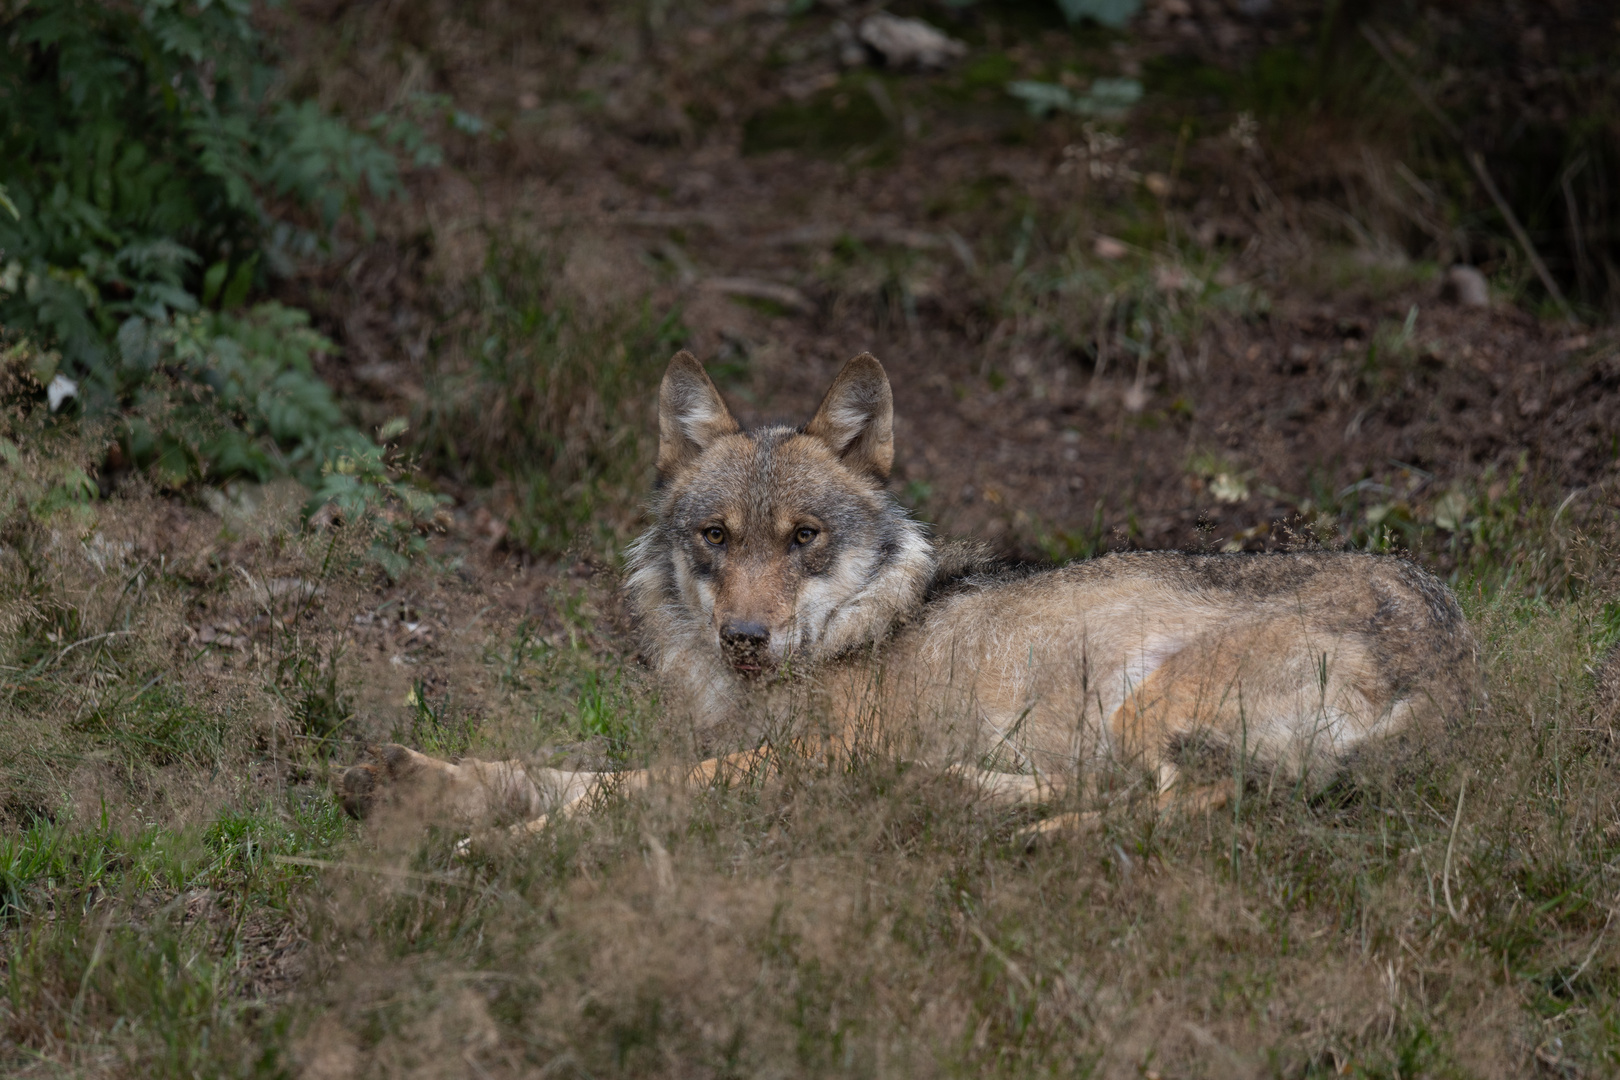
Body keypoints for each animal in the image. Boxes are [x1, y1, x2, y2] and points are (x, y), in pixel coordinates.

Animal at [345, 351, 1483, 835]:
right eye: (715, 538)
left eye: (804, 539)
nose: (745, 636)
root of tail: (1456, 659)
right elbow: (575, 768)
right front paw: (425, 785)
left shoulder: (793, 755)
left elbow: (634, 791)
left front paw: (510, 839)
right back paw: (942, 795)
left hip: (1146, 705)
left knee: (1193, 805)